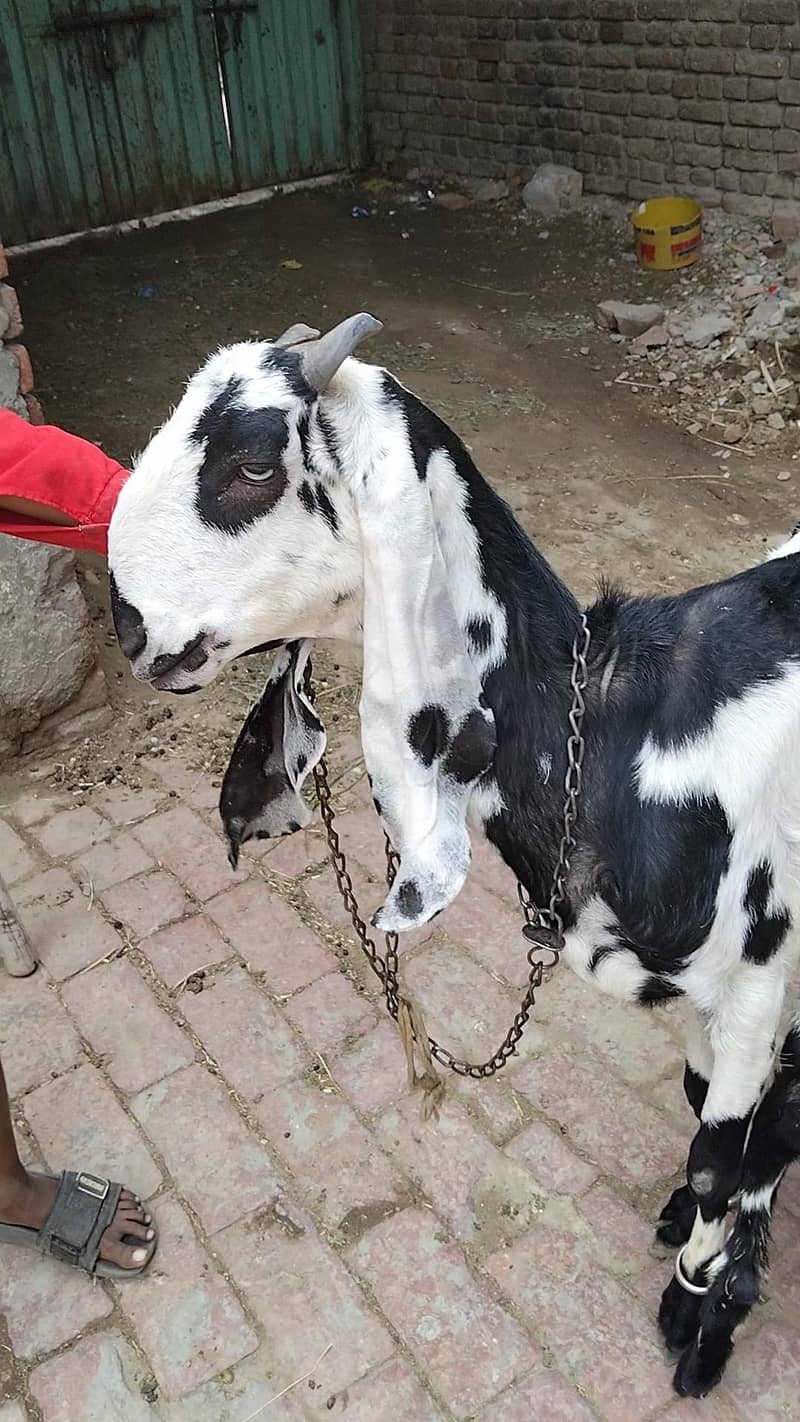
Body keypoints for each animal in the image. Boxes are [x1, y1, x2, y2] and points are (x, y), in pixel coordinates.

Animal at [107, 313, 800, 1398]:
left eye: (254, 465)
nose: (124, 619)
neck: (622, 734)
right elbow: (725, 1122)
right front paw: (701, 1268)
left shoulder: (759, 977)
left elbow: (721, 1153)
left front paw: (702, 1321)